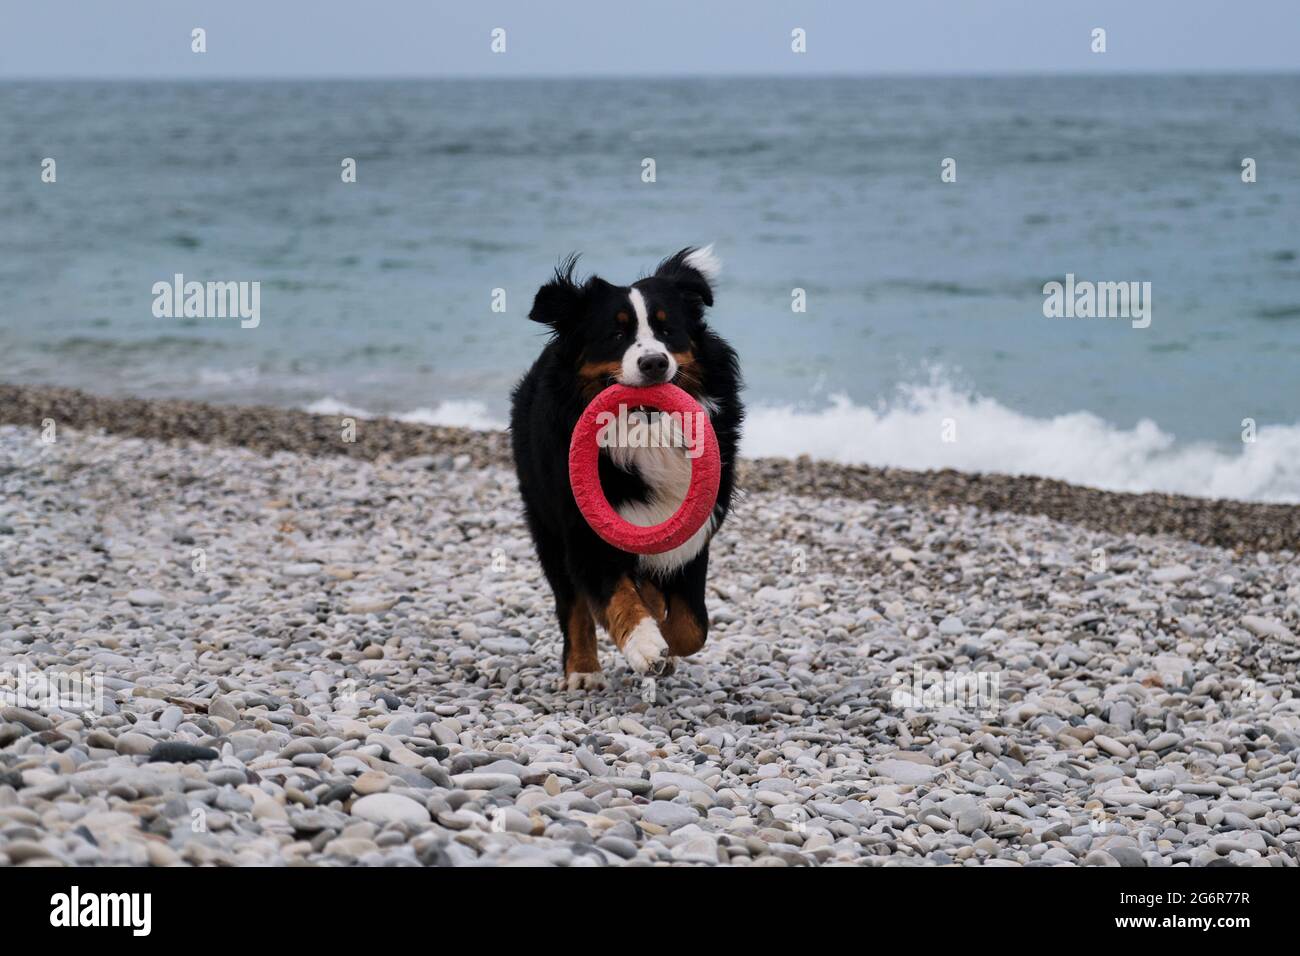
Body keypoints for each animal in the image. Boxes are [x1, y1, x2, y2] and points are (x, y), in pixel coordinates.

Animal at [512, 243, 748, 686]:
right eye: (616, 335)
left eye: (668, 330)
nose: (654, 362)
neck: (645, 436)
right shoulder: (584, 531)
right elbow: (616, 596)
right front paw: (646, 645)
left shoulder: (694, 532)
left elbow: (693, 625)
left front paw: (666, 645)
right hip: (545, 524)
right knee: (571, 605)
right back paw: (583, 670)